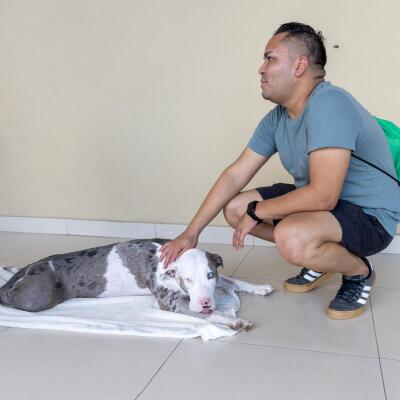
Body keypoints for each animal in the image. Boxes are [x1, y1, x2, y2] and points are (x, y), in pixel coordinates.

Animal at [0, 239, 273, 331]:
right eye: (188, 280)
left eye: (210, 276)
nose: (205, 302)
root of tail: (35, 264)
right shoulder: (173, 303)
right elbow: (212, 315)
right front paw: (235, 321)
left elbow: (233, 280)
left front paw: (258, 287)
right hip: (38, 296)